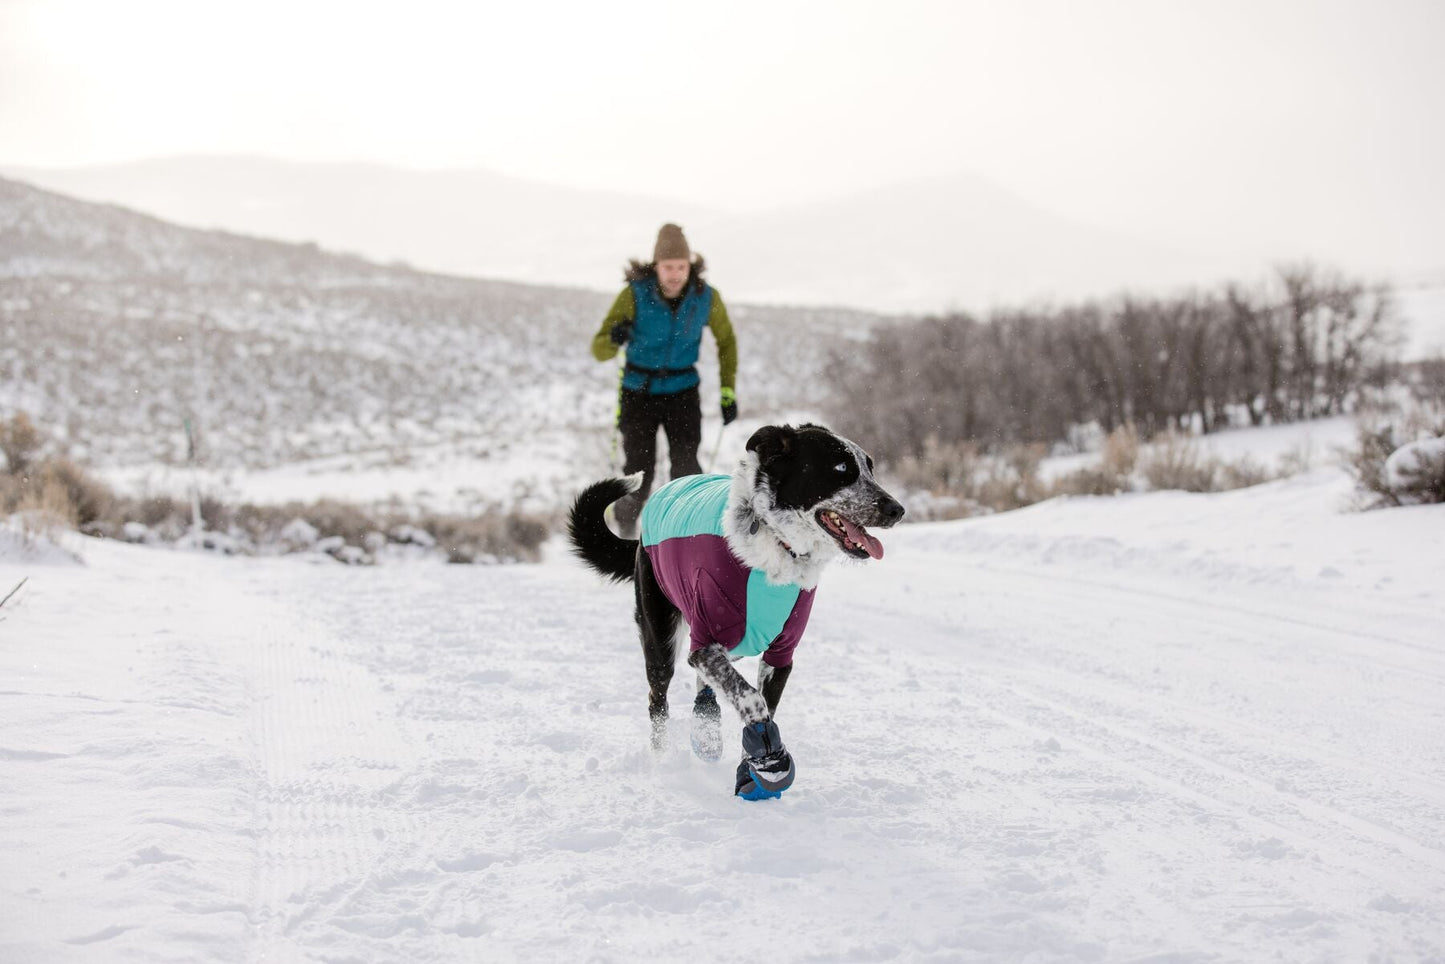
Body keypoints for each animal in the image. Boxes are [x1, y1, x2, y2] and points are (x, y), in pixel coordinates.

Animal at [563, 422, 901, 797]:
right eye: (841, 469)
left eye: (869, 468)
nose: (897, 509)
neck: (777, 544)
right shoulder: (706, 644)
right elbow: (752, 700)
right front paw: (770, 759)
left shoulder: (780, 655)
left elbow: (763, 704)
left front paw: (755, 767)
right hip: (660, 638)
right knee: (658, 699)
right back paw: (664, 759)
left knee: (704, 685)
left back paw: (706, 732)